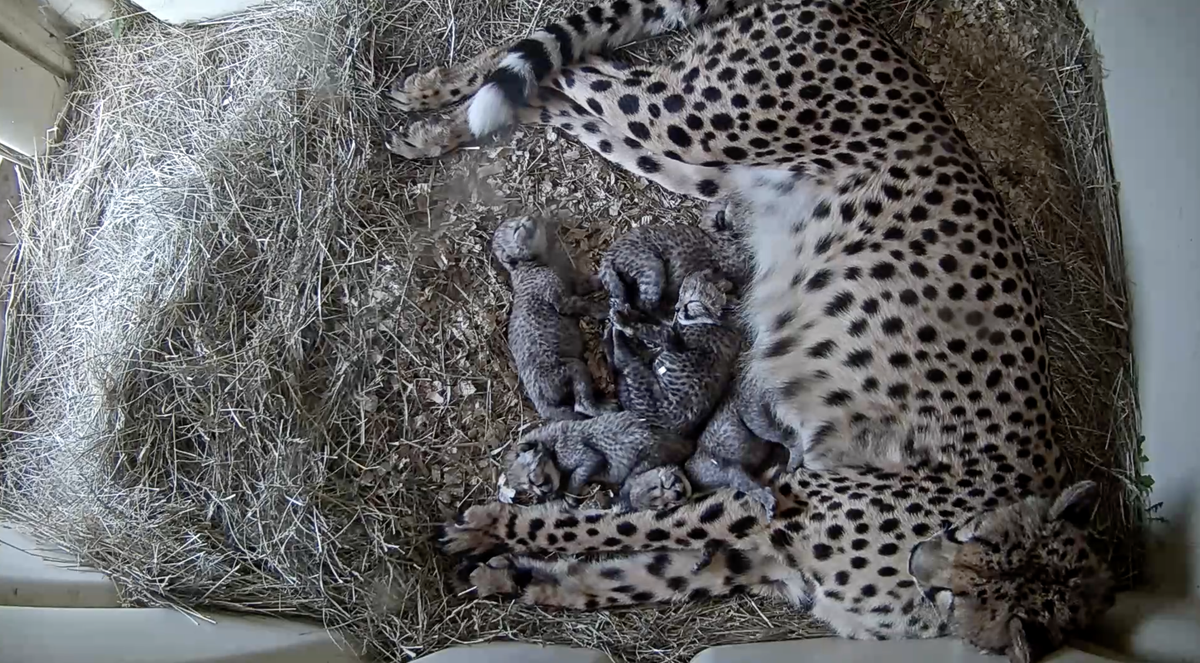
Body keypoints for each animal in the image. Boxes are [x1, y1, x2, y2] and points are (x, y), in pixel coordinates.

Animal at [493, 216, 611, 421]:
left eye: (516, 220)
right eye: (517, 229)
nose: (528, 218)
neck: (531, 266)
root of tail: (541, 403)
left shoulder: (573, 284)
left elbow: (590, 283)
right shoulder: (561, 300)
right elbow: (585, 304)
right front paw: (605, 309)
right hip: (571, 367)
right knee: (580, 404)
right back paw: (603, 408)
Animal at [504, 410, 695, 509]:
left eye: (531, 478)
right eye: (526, 489)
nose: (542, 492)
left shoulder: (589, 456)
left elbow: (578, 475)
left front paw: (570, 497)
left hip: (648, 458)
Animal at [607, 270, 742, 437]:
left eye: (692, 302)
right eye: (682, 292)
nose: (677, 308)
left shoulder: (671, 340)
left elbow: (651, 330)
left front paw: (625, 320)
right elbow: (655, 320)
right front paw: (635, 313)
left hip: (639, 376)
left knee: (620, 358)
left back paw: (615, 328)